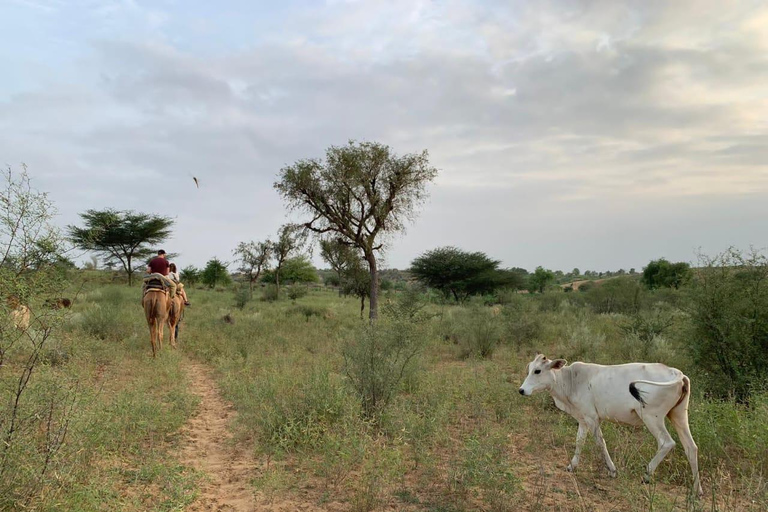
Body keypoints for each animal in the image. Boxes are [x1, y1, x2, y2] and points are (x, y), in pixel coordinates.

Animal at [520, 354, 700, 494]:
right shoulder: (583, 419)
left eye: (537, 371)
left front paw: (612, 470)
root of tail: (677, 373)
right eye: (529, 369)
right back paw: (697, 490)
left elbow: (601, 443)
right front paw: (571, 466)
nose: (521, 390)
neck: (570, 379)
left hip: (652, 417)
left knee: (666, 442)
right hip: (679, 415)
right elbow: (579, 442)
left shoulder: (592, 419)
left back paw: (646, 475)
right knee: (691, 447)